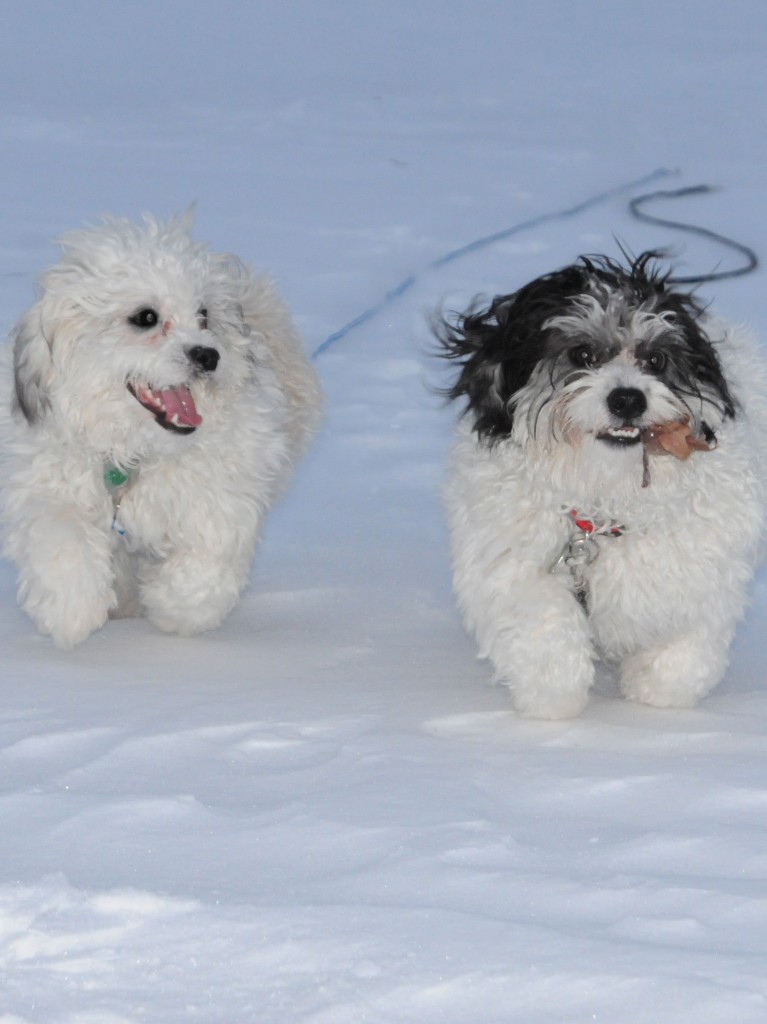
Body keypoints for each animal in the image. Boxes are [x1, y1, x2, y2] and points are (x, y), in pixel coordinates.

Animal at [0, 216, 319, 647]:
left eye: (204, 315)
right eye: (146, 317)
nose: (208, 355)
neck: (134, 453)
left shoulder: (220, 497)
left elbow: (205, 567)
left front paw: (171, 607)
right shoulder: (48, 487)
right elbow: (61, 543)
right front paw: (71, 612)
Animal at [436, 253, 765, 720]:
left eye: (656, 360)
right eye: (583, 354)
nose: (627, 399)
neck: (605, 501)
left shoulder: (700, 570)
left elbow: (686, 645)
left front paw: (655, 689)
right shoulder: (510, 559)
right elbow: (542, 620)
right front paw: (554, 694)